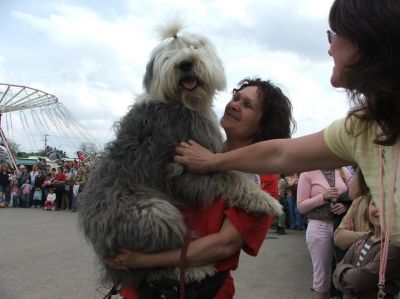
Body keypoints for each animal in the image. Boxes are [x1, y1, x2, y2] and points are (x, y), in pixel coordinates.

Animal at [79, 21, 282, 290]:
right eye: (168, 55)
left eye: (194, 46)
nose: (185, 63)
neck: (182, 102)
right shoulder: (182, 168)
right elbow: (230, 176)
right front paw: (266, 201)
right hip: (152, 213)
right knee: (155, 265)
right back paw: (196, 270)